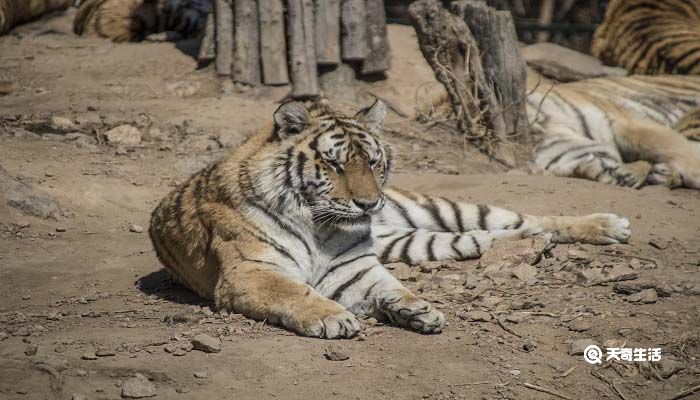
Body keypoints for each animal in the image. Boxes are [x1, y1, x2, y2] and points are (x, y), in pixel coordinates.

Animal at [149, 98, 636, 340]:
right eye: (334, 164)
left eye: (372, 161)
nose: (369, 205)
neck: (321, 227)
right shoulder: (250, 273)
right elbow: (294, 292)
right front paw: (335, 318)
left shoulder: (355, 269)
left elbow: (393, 288)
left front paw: (418, 309)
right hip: (418, 238)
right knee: (490, 234)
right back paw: (515, 245)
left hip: (444, 208)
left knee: (531, 218)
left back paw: (609, 225)